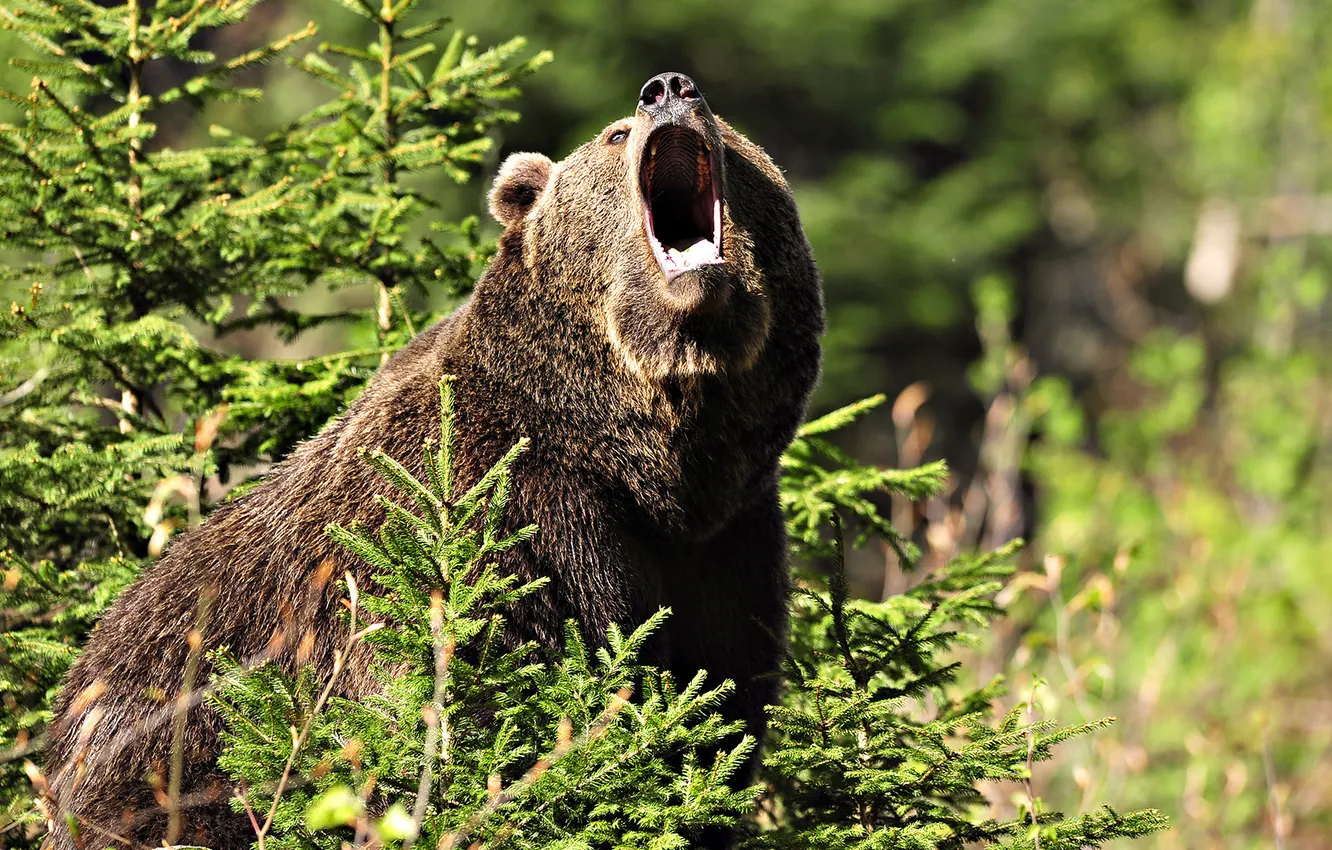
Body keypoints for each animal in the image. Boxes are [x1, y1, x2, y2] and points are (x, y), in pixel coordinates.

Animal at [41, 73, 820, 850]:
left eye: (729, 130)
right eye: (616, 135)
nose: (668, 89)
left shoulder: (728, 548)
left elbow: (714, 714)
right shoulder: (497, 515)